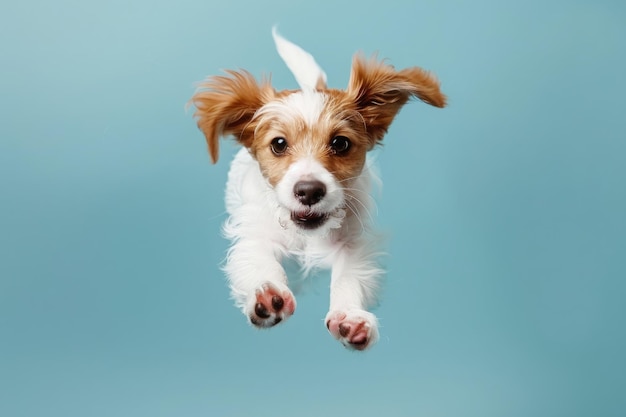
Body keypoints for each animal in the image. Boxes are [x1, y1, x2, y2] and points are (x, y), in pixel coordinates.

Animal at [190, 27, 444, 350]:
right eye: (279, 144)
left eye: (340, 143)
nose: (309, 191)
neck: (307, 238)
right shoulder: (255, 234)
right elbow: (260, 260)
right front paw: (266, 294)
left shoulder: (354, 244)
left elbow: (349, 277)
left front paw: (350, 315)